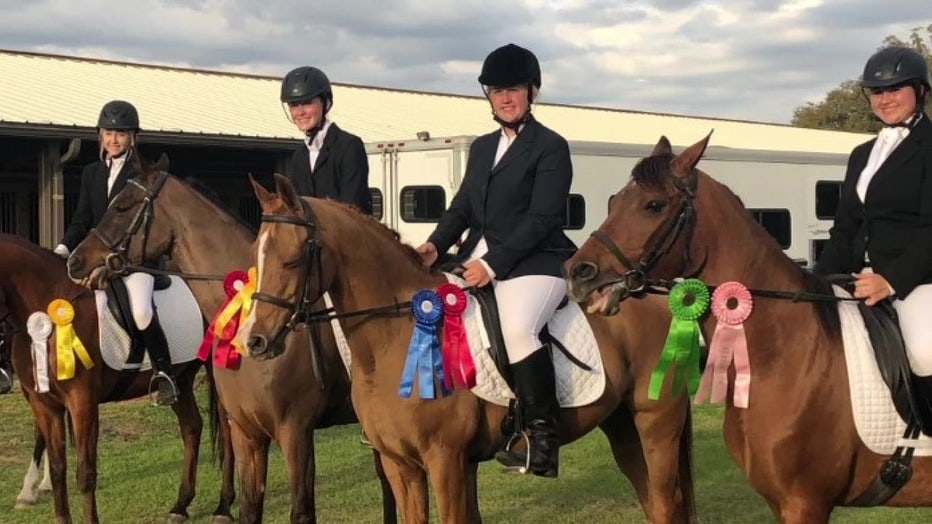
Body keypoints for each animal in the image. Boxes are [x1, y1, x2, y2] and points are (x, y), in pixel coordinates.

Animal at [0, 233, 235, 524]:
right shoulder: (43, 404)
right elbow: (57, 470)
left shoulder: (82, 403)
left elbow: (85, 473)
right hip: (180, 379)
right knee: (192, 426)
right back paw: (180, 505)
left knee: (229, 434)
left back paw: (223, 507)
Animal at [66, 168, 396, 524]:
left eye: (123, 207)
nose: (75, 261)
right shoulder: (246, 431)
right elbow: (250, 507)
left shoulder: (296, 432)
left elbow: (301, 511)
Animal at [237, 175, 696, 524]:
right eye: (256, 253)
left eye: (294, 259)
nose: (255, 341)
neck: (394, 340)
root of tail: (658, 294)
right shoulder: (400, 465)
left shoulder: (446, 461)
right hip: (623, 428)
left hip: (656, 427)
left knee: (666, 505)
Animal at [560, 136, 932, 524]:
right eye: (615, 201)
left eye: (654, 205)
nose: (577, 273)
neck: (785, 353)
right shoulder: (781, 501)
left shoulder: (806, 502)